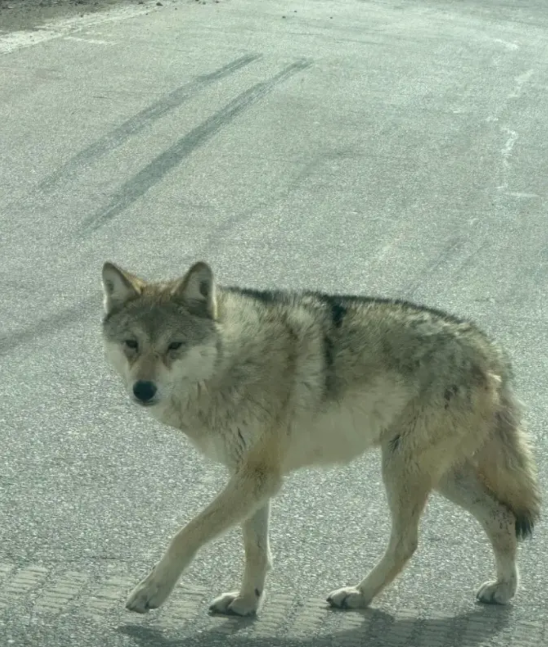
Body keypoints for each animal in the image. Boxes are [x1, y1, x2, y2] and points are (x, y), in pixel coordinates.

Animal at [100, 260, 540, 616]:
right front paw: (245, 604)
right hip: (441, 475)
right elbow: (255, 551)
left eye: (174, 346)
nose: (143, 389)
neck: (233, 362)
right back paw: (503, 589)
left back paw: (359, 595)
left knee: (407, 543)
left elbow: (185, 535)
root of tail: (490, 348)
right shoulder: (253, 479)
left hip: (403, 470)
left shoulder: (257, 478)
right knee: (501, 517)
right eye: (132, 344)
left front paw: (151, 591)